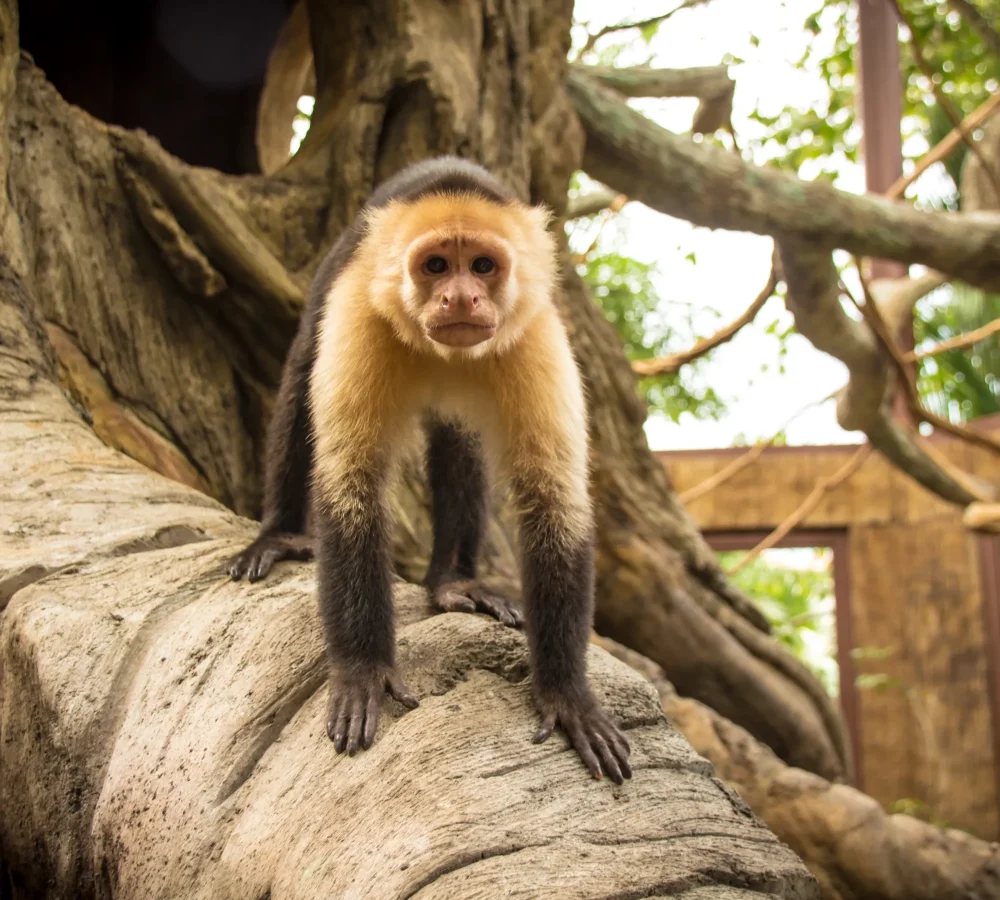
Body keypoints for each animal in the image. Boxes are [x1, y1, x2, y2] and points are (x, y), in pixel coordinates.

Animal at [229, 157, 631, 784]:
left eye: (482, 266)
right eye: (437, 265)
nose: (461, 298)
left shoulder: (536, 333)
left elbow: (555, 501)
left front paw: (567, 693)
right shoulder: (359, 309)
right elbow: (351, 482)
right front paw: (364, 667)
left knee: (458, 439)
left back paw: (453, 583)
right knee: (300, 378)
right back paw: (280, 533)